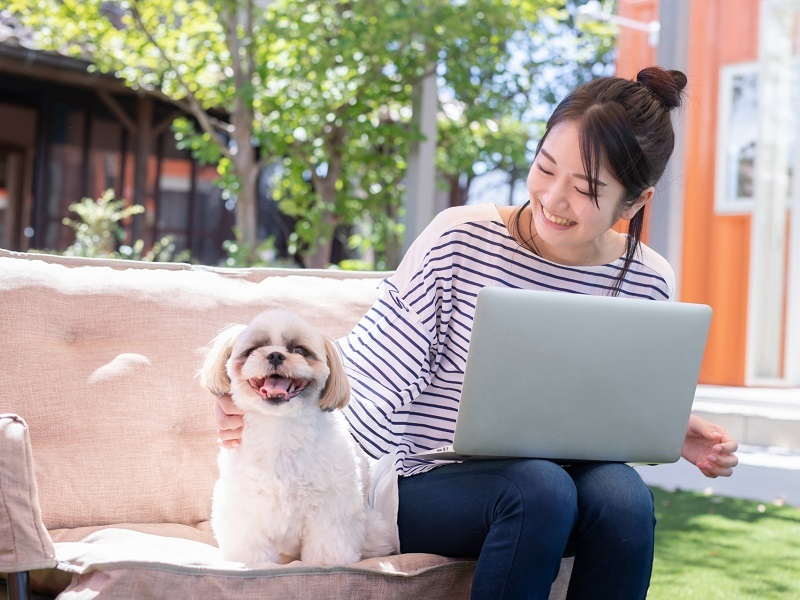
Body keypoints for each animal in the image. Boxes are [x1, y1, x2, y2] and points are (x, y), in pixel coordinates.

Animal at [200, 310, 394, 568]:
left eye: (300, 350)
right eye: (254, 349)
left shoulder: (331, 508)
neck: (280, 430)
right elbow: (252, 548)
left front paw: (325, 564)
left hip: (374, 529)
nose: (275, 354)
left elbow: (327, 546)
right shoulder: (245, 508)